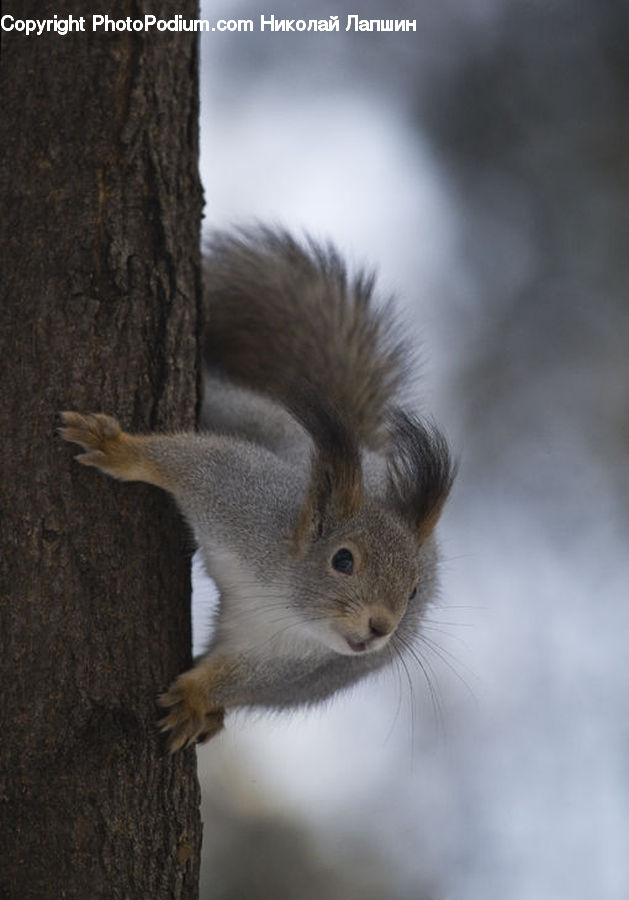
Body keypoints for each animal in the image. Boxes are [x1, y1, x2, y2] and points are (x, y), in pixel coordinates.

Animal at [60, 227, 455, 752]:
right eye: (342, 560)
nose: (380, 628)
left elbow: (246, 678)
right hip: (242, 412)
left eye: (414, 592)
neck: (286, 597)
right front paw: (119, 448)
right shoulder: (242, 500)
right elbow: (190, 462)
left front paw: (198, 698)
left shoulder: (301, 664)